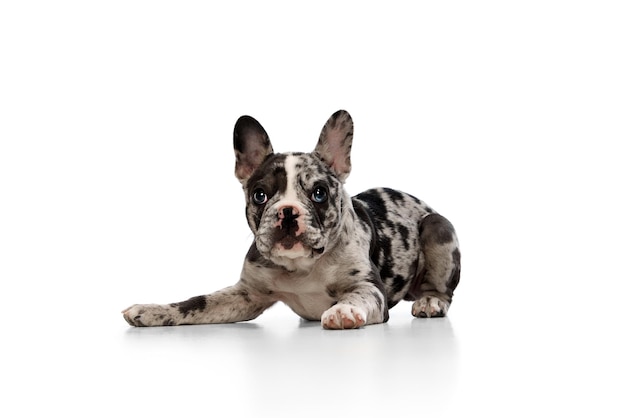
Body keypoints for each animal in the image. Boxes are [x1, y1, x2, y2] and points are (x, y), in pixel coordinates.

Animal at [124, 111, 460, 330]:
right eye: (259, 195)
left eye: (319, 193)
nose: (287, 210)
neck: (302, 267)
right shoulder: (246, 294)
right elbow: (197, 303)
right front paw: (152, 311)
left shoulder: (369, 287)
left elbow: (358, 296)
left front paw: (344, 309)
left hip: (437, 228)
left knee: (442, 289)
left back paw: (430, 301)